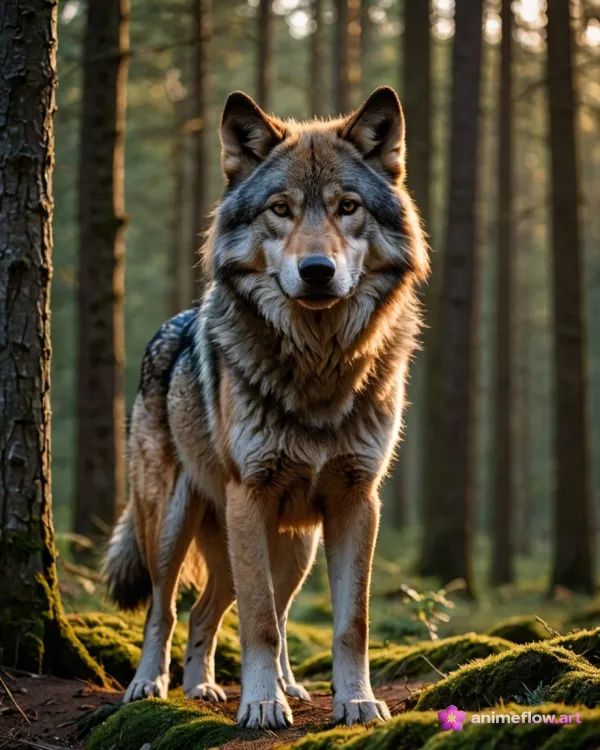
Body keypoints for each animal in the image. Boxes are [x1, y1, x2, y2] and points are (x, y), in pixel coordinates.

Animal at [105, 86, 429, 729]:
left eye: (348, 206)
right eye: (280, 209)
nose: (317, 271)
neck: (319, 367)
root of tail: (168, 329)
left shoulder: (357, 499)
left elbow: (350, 623)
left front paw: (355, 701)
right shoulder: (248, 494)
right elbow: (254, 622)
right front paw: (258, 705)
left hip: (293, 546)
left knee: (231, 613)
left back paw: (229, 686)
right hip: (175, 523)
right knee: (167, 608)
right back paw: (153, 685)